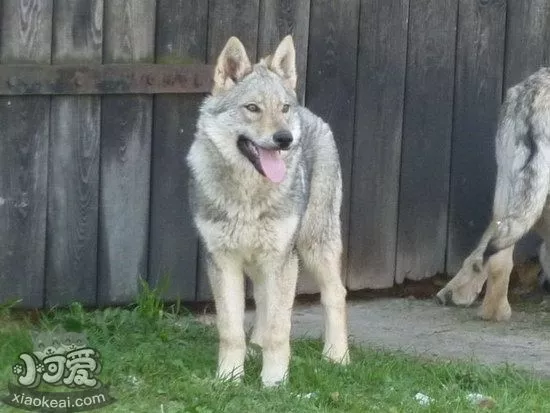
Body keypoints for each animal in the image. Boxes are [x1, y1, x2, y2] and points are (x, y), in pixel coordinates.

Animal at [185, 36, 350, 386]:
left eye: (282, 108)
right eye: (253, 108)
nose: (284, 138)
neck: (249, 196)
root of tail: (310, 113)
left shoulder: (282, 260)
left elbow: (279, 329)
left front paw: (274, 382)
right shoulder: (223, 262)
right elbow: (231, 330)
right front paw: (229, 379)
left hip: (314, 247)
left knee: (335, 293)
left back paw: (337, 356)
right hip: (264, 262)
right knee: (261, 303)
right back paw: (254, 348)